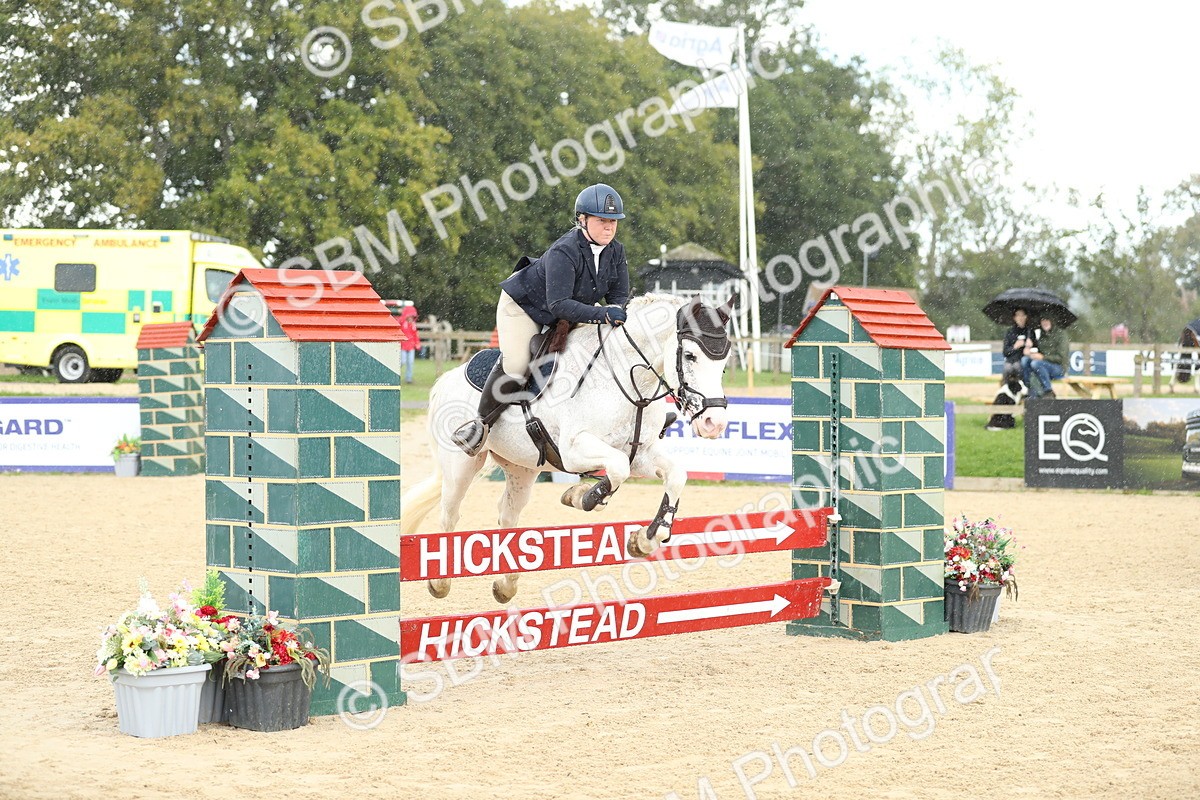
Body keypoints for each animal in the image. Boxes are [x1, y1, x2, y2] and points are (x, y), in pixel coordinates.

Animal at [400, 293, 735, 604]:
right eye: (690, 355)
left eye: (724, 362)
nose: (713, 424)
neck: (630, 379)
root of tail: (447, 378)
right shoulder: (574, 449)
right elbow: (616, 467)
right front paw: (583, 497)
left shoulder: (641, 453)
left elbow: (675, 475)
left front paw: (647, 537)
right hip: (462, 464)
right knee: (450, 514)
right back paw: (440, 582)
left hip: (522, 468)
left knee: (507, 515)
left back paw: (506, 586)